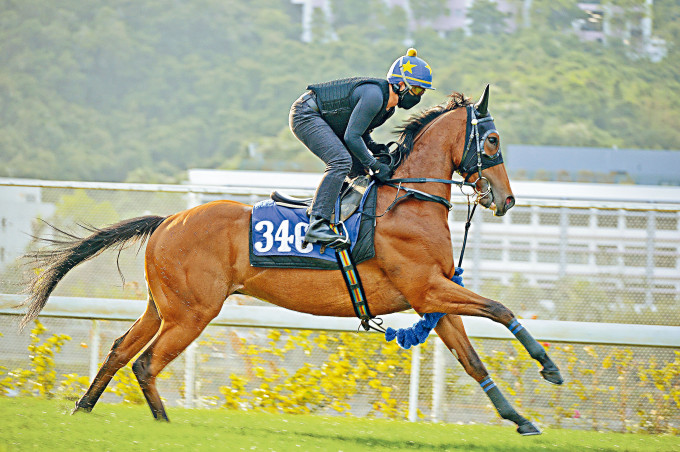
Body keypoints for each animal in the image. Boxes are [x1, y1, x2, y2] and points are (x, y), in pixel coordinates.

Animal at [21, 85, 564, 434]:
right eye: (491, 139)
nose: (506, 198)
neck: (408, 200)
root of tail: (167, 220)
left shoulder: (432, 298)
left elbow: (473, 360)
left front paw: (521, 419)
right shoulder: (428, 288)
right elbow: (501, 309)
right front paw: (550, 369)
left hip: (163, 307)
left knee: (120, 351)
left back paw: (83, 409)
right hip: (193, 312)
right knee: (147, 363)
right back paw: (164, 425)